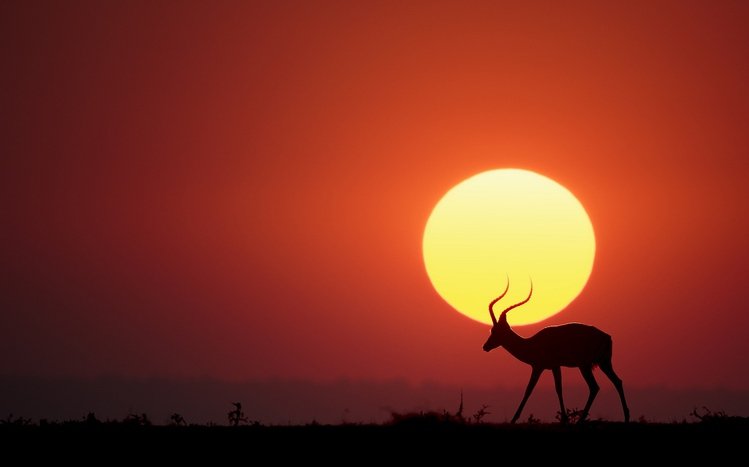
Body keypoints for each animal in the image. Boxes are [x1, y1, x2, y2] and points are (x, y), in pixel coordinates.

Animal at [483, 278, 630, 424]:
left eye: (495, 331)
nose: (485, 347)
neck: (532, 343)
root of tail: (607, 337)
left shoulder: (540, 367)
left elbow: (531, 390)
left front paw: (514, 419)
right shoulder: (554, 366)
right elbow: (557, 389)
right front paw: (564, 418)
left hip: (585, 365)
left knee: (594, 387)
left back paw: (581, 420)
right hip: (604, 363)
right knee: (617, 381)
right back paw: (626, 417)